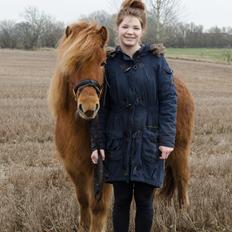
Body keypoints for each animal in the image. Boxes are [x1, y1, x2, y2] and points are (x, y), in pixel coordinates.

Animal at [48, 20, 195, 231]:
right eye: (73, 63)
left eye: (102, 63)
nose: (89, 107)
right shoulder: (74, 168)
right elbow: (83, 200)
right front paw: (83, 226)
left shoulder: (102, 170)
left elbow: (98, 207)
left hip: (180, 149)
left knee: (182, 177)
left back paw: (184, 214)